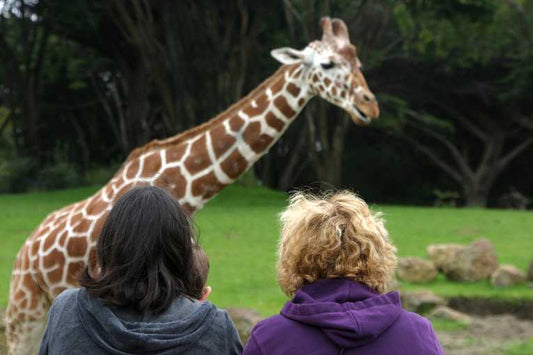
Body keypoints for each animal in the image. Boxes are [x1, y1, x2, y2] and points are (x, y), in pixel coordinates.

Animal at [4, 17, 378, 355]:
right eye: (327, 64)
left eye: (358, 62)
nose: (369, 105)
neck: (180, 190)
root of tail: (27, 247)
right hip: (25, 310)